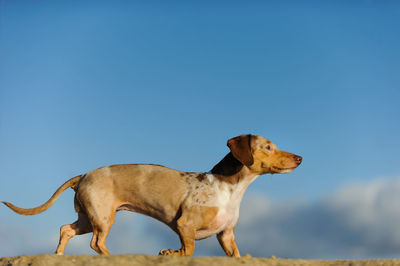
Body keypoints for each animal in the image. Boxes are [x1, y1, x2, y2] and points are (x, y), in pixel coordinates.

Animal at [2, 134, 300, 256]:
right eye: (269, 147)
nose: (300, 157)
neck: (228, 189)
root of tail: (83, 175)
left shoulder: (226, 235)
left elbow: (235, 255)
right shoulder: (184, 225)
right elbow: (189, 249)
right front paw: (172, 253)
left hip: (88, 217)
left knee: (66, 229)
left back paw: (60, 255)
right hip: (103, 218)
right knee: (96, 243)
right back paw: (111, 258)